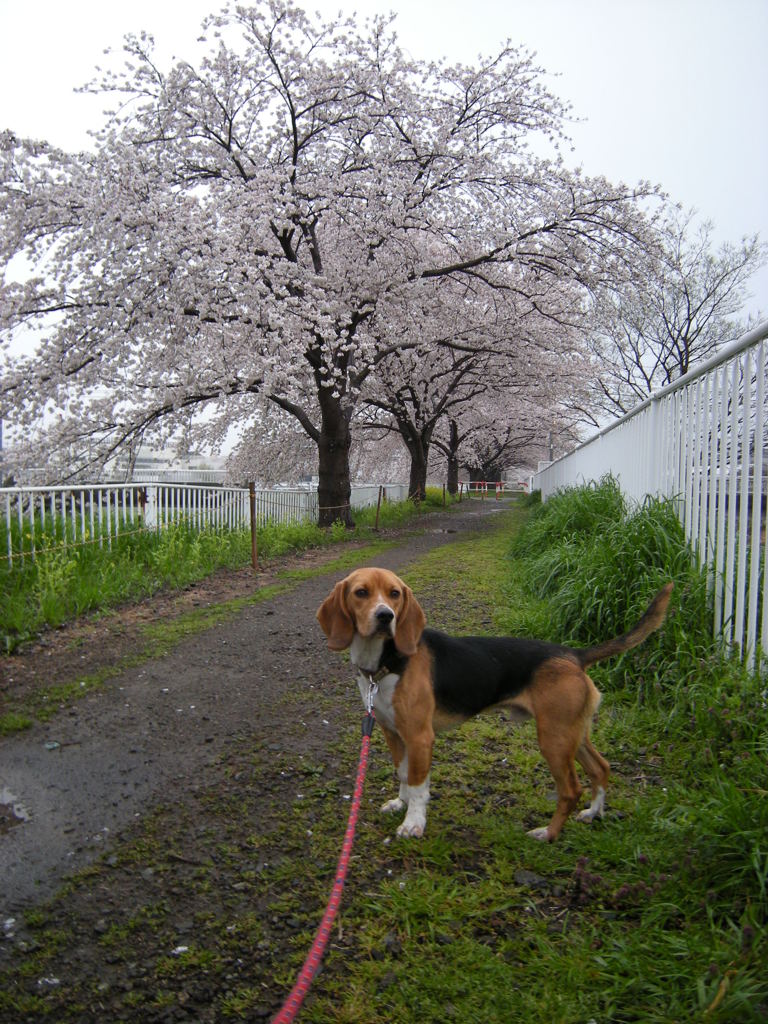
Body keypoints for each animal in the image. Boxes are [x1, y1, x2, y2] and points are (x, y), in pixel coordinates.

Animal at [319, 569, 671, 839]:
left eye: (394, 594)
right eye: (361, 593)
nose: (385, 616)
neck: (386, 662)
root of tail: (574, 654)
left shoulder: (420, 737)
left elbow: (418, 783)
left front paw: (414, 823)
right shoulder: (393, 733)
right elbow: (404, 773)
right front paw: (400, 804)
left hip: (554, 740)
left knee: (571, 789)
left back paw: (548, 834)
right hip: (573, 732)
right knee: (601, 768)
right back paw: (593, 813)